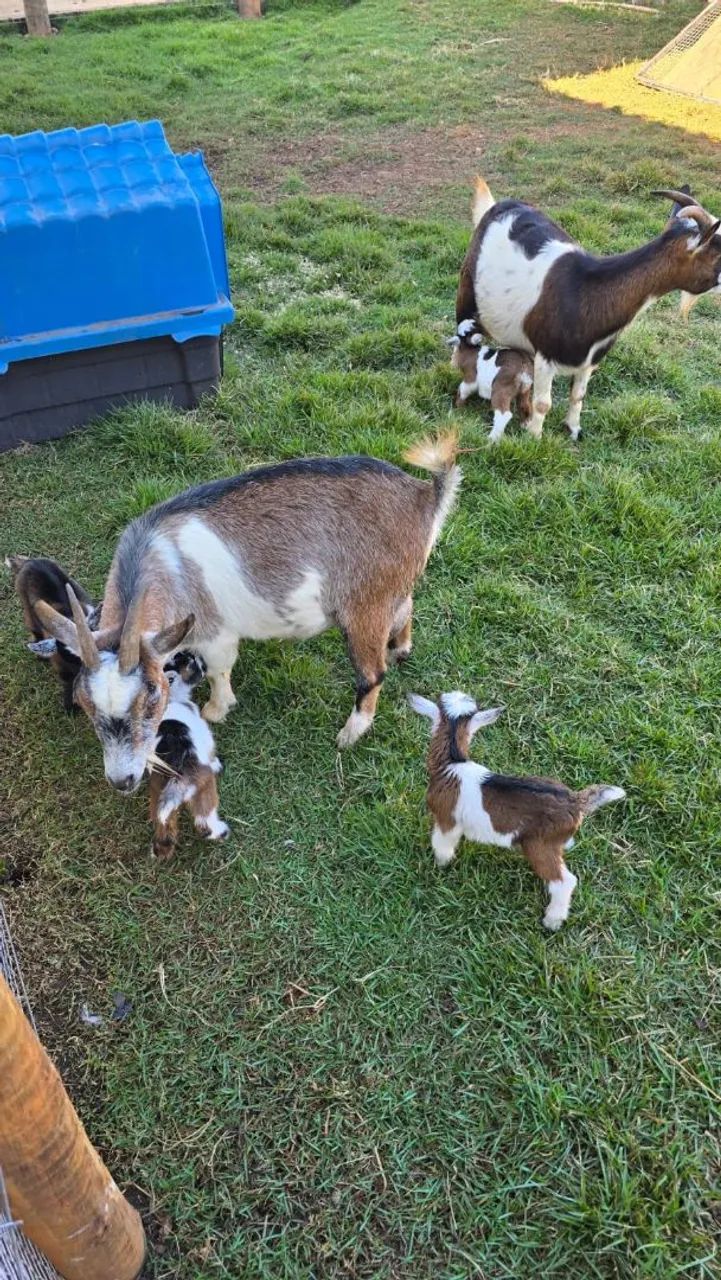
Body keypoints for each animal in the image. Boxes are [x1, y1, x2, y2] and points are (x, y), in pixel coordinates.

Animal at [5, 555, 100, 713]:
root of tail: (29, 561)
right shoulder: (62, 668)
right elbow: (67, 682)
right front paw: (70, 706)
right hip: (26, 606)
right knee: (33, 627)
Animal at [34, 436, 461, 794]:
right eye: (85, 704)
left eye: (152, 696)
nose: (123, 781)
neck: (164, 565)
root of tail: (424, 496)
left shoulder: (214, 633)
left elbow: (220, 670)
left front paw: (216, 709)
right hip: (391, 590)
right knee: (406, 606)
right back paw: (401, 648)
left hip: (364, 605)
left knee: (372, 674)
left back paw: (350, 732)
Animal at [149, 651, 228, 859]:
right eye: (191, 663)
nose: (202, 659)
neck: (171, 699)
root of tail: (176, 777)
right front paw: (217, 764)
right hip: (204, 788)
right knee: (204, 821)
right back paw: (221, 831)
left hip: (158, 796)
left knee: (163, 824)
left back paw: (161, 849)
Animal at [408, 691, 625, 930]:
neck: (451, 763)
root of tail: (575, 801)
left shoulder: (447, 818)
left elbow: (442, 843)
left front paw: (441, 864)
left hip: (539, 845)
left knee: (564, 881)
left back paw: (552, 921)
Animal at [456, 179, 721, 440]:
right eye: (718, 253)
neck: (588, 292)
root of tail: (496, 206)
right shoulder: (545, 356)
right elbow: (543, 403)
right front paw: (535, 438)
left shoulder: (590, 361)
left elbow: (578, 396)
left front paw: (573, 429)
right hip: (467, 288)